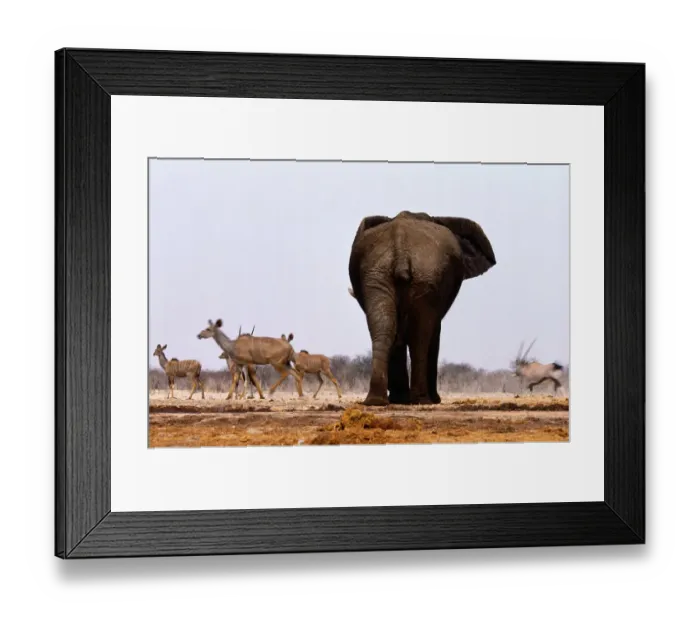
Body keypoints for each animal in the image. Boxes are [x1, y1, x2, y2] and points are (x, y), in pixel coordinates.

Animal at [348, 210, 496, 406]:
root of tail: (400, 241)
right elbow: (434, 331)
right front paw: (431, 400)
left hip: (380, 274)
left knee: (385, 325)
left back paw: (378, 401)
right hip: (425, 275)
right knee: (420, 334)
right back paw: (422, 400)